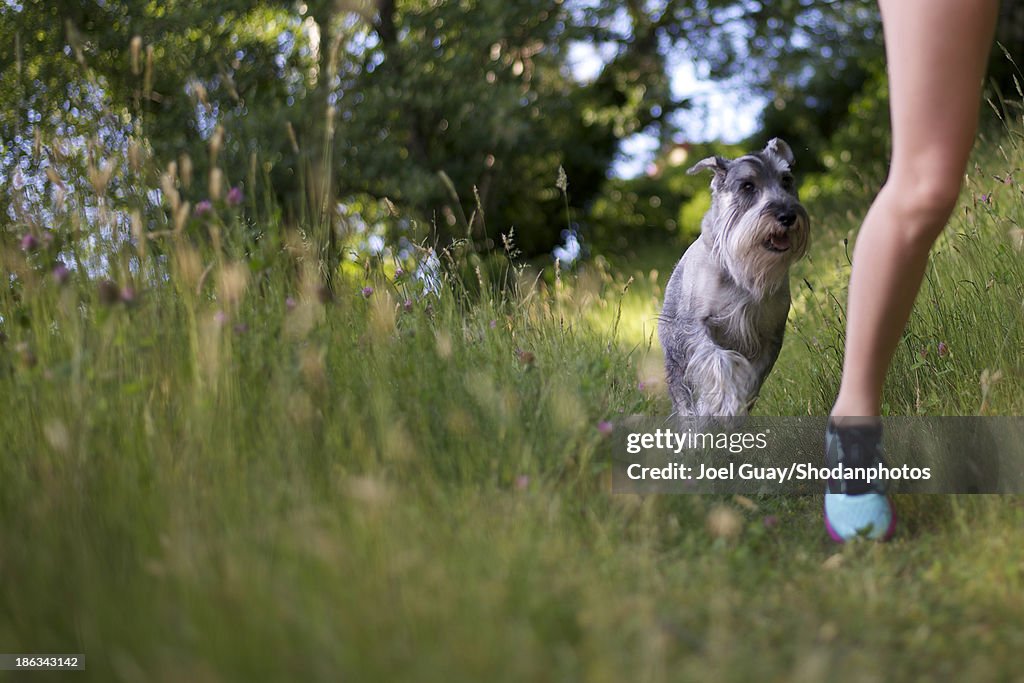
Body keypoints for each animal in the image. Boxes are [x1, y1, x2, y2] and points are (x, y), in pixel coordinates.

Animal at [659, 139, 811, 417]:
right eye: (747, 186)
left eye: (786, 180)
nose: (787, 215)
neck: (741, 271)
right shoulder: (696, 327)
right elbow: (718, 361)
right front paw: (717, 404)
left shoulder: (769, 337)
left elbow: (750, 378)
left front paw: (732, 406)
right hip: (675, 358)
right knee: (683, 397)